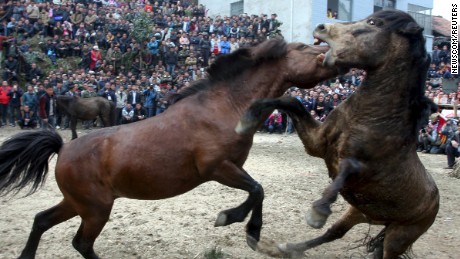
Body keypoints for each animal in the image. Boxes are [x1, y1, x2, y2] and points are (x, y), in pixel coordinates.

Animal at [0, 39, 338, 259]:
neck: (226, 107)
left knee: (42, 221)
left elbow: (258, 190)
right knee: (81, 243)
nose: (335, 56)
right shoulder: (217, 168)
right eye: (304, 48)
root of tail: (63, 149)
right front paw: (231, 219)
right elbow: (257, 189)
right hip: (95, 209)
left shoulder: (233, 166)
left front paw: (251, 232)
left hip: (78, 203)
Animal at [235, 9, 440, 258]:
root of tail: (435, 200)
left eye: (374, 22)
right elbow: (291, 101)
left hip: (401, 234)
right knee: (334, 233)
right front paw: (247, 119)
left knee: (386, 251)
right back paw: (287, 247)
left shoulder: (362, 170)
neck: (370, 117)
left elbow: (348, 167)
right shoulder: (317, 143)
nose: (321, 27)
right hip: (360, 212)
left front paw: (317, 212)